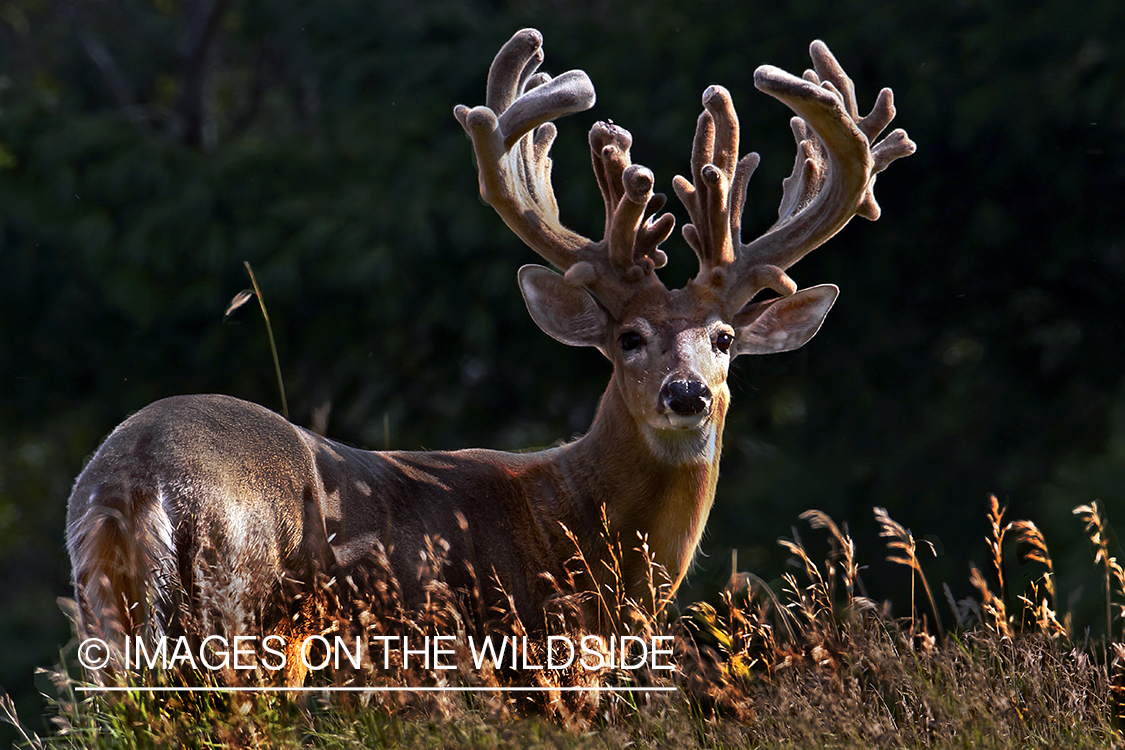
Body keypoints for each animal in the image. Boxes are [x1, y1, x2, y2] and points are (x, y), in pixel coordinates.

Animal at [63, 29, 913, 688]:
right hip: (246, 619)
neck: (570, 523)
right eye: (627, 338)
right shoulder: (540, 666)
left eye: (726, 338)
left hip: (117, 627)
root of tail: (134, 480)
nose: (685, 394)